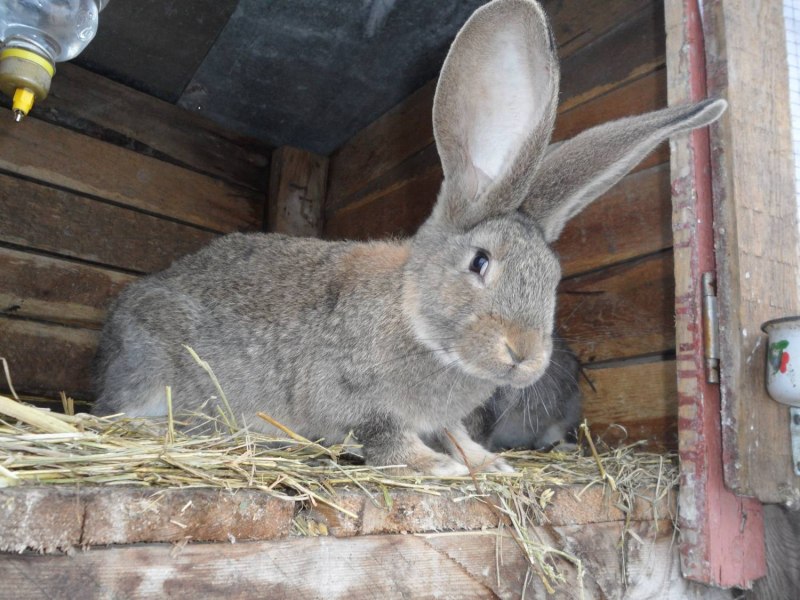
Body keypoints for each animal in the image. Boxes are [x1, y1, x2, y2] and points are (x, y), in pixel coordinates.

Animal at [92, 0, 724, 476]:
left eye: (555, 277)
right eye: (479, 263)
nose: (524, 356)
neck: (413, 316)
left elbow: (454, 431)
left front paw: (486, 464)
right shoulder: (354, 399)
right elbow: (387, 438)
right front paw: (438, 466)